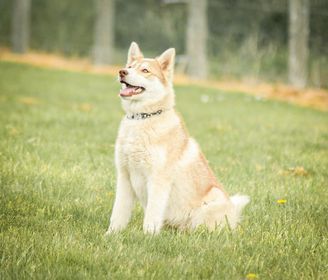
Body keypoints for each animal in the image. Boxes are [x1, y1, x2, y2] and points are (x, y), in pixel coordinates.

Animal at [106, 42, 250, 234]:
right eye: (129, 67)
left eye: (145, 70)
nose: (122, 72)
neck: (143, 118)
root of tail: (234, 213)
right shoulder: (124, 176)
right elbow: (118, 213)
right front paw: (111, 234)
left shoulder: (158, 180)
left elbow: (151, 216)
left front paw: (147, 236)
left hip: (212, 199)